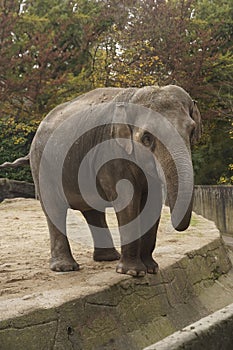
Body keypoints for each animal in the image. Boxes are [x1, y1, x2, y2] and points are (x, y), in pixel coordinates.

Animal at [0, 85, 201, 276]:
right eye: (147, 138)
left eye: (192, 131)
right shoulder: (110, 152)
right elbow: (127, 201)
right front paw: (133, 272)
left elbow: (152, 203)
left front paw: (151, 269)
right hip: (43, 166)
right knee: (54, 209)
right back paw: (65, 268)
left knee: (93, 211)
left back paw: (108, 258)